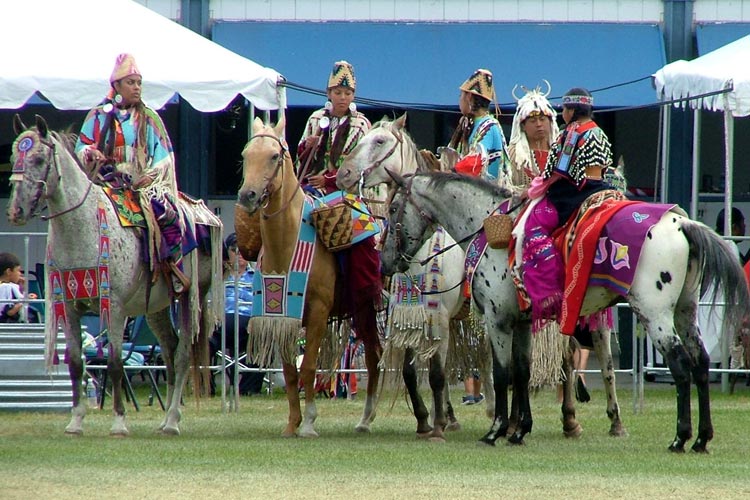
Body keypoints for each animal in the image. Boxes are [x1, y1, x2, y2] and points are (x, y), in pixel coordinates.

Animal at [6, 115, 223, 436]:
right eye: (13, 158)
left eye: (38, 158)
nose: (15, 211)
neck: (83, 230)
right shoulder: (69, 306)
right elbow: (75, 363)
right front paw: (76, 420)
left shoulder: (116, 308)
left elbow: (115, 364)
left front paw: (119, 421)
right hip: (155, 307)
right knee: (169, 350)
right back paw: (165, 419)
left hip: (190, 297)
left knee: (183, 354)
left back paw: (172, 420)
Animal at [238, 117, 384, 438]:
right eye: (245, 155)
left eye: (274, 156)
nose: (247, 196)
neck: (286, 244)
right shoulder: (281, 317)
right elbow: (290, 372)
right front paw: (292, 423)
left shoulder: (318, 312)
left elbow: (308, 367)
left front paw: (308, 423)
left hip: (366, 308)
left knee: (373, 356)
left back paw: (368, 418)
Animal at [340, 113, 628, 442]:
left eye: (379, 141)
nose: (343, 174)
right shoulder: (409, 315)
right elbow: (413, 372)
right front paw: (427, 421)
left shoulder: (444, 315)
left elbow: (440, 374)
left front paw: (441, 426)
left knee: (587, 358)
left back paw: (585, 419)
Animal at [382, 169, 750, 454]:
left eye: (394, 207)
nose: (387, 263)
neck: (490, 227)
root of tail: (681, 223)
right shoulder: (520, 322)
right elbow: (521, 372)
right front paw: (519, 430)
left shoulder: (498, 322)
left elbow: (501, 375)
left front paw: (496, 430)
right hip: (686, 312)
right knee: (700, 363)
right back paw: (702, 438)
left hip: (655, 315)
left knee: (681, 367)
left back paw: (680, 438)